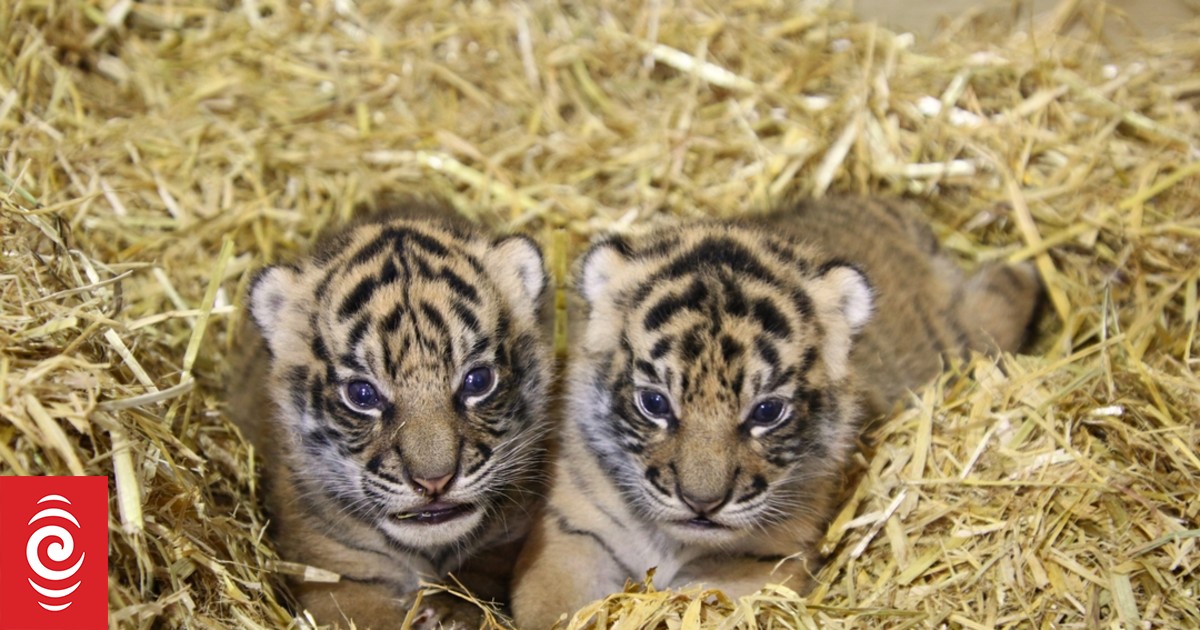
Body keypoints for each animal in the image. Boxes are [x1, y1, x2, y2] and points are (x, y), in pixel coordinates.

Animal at [227, 203, 553, 629]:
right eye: (362, 394)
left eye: (478, 380)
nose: (434, 482)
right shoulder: (329, 574)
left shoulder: (510, 536)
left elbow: (479, 575)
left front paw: (448, 611)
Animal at [511, 197, 1044, 627]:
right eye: (655, 403)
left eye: (766, 412)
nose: (702, 503)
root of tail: (891, 209)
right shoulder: (572, 535)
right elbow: (546, 606)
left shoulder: (765, 561)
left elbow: (703, 599)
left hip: (959, 343)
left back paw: (1028, 271)